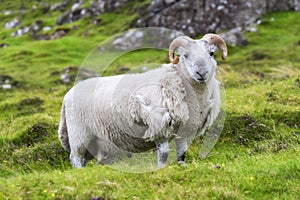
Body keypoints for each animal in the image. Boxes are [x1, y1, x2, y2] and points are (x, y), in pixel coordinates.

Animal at [58, 33, 227, 168]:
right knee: (75, 158)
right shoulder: (159, 126)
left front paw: (181, 166)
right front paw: (161, 169)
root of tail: (67, 96)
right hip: (79, 135)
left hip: (92, 141)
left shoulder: (183, 131)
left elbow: (181, 154)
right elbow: (163, 154)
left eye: (211, 53)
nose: (201, 73)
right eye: (185, 56)